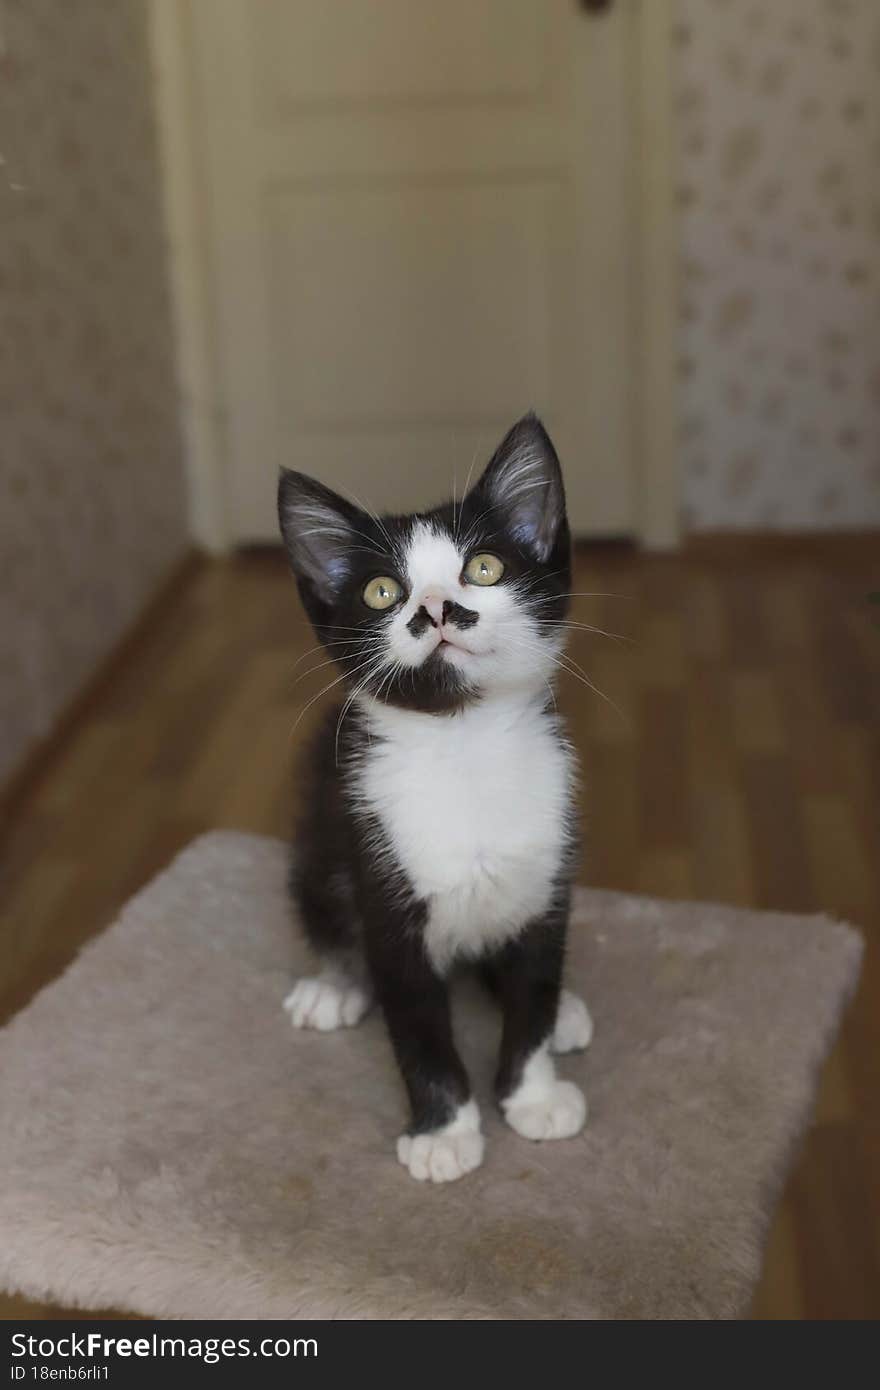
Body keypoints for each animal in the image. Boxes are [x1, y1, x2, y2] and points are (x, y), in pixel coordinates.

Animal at [278, 411, 595, 1184]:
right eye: (382, 593)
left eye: (483, 568)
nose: (437, 608)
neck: (463, 745)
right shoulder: (385, 884)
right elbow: (418, 1028)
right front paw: (444, 1130)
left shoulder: (547, 873)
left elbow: (531, 996)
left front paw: (533, 1096)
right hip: (320, 841)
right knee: (326, 909)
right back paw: (334, 983)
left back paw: (566, 1009)